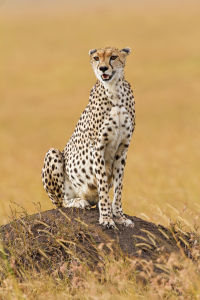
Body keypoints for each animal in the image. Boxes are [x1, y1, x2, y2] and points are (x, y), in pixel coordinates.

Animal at [42, 47, 136, 229]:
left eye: (113, 57)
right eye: (96, 58)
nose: (103, 69)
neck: (114, 91)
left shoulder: (123, 148)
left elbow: (118, 186)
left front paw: (119, 216)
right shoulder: (98, 147)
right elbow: (102, 184)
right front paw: (106, 218)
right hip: (53, 154)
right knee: (61, 202)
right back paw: (78, 202)